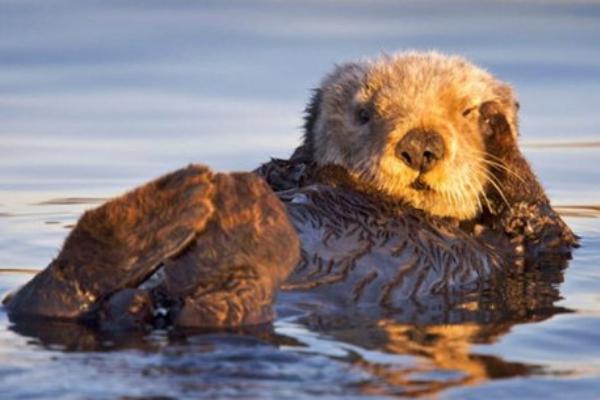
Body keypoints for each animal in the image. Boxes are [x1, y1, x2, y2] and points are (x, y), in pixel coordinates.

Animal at [3, 51, 576, 330]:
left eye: (463, 111)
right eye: (364, 113)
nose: (421, 145)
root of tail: (146, 303)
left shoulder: (537, 247)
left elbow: (537, 214)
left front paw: (497, 124)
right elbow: (281, 171)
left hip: (227, 303)